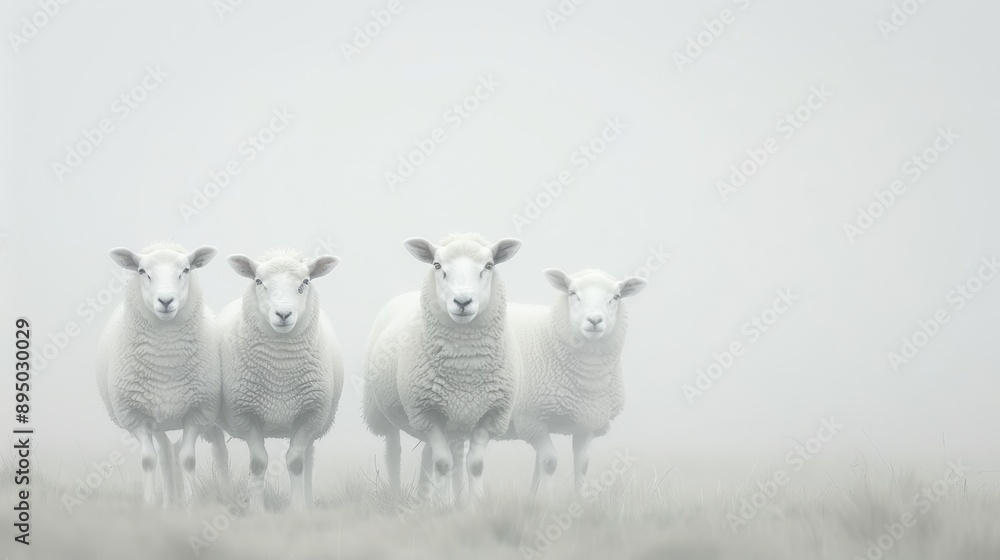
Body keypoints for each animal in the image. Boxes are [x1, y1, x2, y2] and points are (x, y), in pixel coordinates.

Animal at [96, 242, 231, 508]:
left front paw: (191, 503)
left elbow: (188, 458)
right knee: (166, 454)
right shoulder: (136, 416)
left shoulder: (197, 412)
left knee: (202, 451)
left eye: (186, 270)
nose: (166, 300)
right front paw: (150, 503)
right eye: (142, 271)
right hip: (157, 418)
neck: (165, 360)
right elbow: (149, 460)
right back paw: (168, 503)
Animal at [218, 249, 343, 513]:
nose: (283, 314)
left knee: (308, 459)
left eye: (305, 282)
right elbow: (258, 462)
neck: (280, 369)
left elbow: (296, 461)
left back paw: (308, 502)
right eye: (258, 281)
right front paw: (257, 510)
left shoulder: (310, 413)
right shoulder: (245, 413)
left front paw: (297, 509)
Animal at [362, 233, 522, 507]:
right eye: (437, 265)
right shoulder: (426, 413)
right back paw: (398, 494)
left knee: (444, 455)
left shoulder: (491, 414)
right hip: (384, 413)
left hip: (455, 421)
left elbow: (474, 465)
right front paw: (441, 505)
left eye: (489, 265)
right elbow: (443, 463)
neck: (465, 367)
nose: (462, 301)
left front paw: (472, 506)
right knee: (395, 452)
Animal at [504, 268, 647, 500]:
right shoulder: (531, 420)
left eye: (616, 296)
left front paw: (580, 501)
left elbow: (582, 464)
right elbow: (550, 462)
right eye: (572, 292)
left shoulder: (587, 421)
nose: (594, 320)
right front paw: (548, 502)